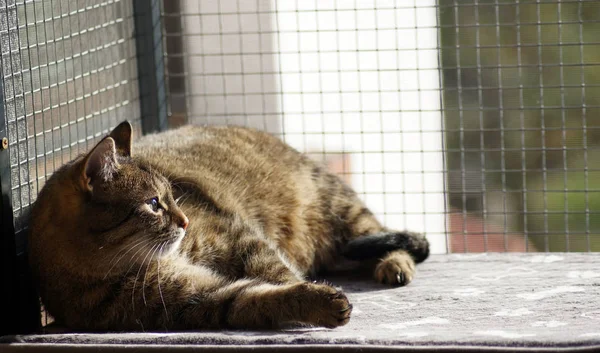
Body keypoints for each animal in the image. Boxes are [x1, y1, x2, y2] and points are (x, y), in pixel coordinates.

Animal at [29, 121, 432, 330]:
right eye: (154, 204)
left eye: (172, 196)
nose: (185, 220)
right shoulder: (196, 300)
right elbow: (258, 299)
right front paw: (315, 302)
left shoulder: (238, 237)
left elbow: (277, 272)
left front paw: (310, 290)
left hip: (338, 208)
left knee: (379, 234)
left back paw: (394, 264)